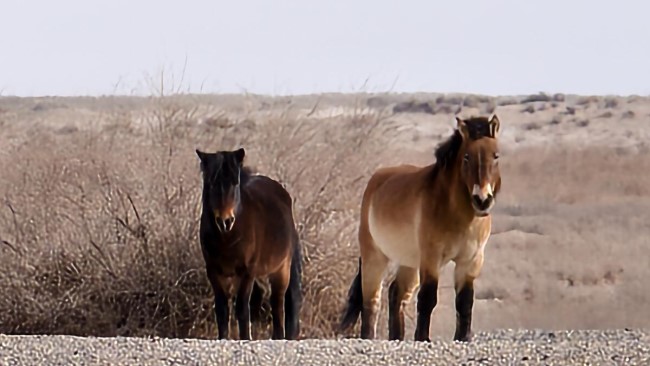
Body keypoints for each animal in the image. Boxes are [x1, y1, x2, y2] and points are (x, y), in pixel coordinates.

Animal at [195, 147, 302, 340]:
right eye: (211, 184)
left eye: (235, 183)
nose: (225, 221)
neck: (226, 237)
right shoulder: (214, 271)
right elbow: (222, 310)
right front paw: (223, 338)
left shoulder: (247, 272)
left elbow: (242, 310)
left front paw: (245, 337)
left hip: (281, 271)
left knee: (277, 305)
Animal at [340, 115, 502, 344]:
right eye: (467, 157)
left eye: (496, 156)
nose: (482, 200)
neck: (459, 214)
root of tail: (377, 179)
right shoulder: (431, 257)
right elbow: (427, 298)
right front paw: (423, 338)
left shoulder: (470, 261)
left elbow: (465, 301)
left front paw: (463, 338)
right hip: (375, 257)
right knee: (371, 301)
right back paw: (369, 337)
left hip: (409, 262)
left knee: (396, 293)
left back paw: (397, 338)